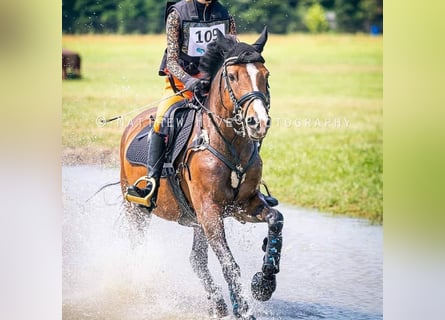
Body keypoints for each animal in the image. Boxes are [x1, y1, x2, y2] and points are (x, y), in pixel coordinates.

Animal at [119, 28, 282, 320]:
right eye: (232, 76)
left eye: (266, 75)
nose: (258, 123)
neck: (229, 143)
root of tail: (131, 125)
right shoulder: (210, 211)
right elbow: (229, 262)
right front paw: (243, 308)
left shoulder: (242, 206)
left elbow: (276, 220)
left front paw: (264, 284)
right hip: (136, 209)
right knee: (137, 245)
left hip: (195, 220)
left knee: (196, 260)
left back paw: (217, 303)